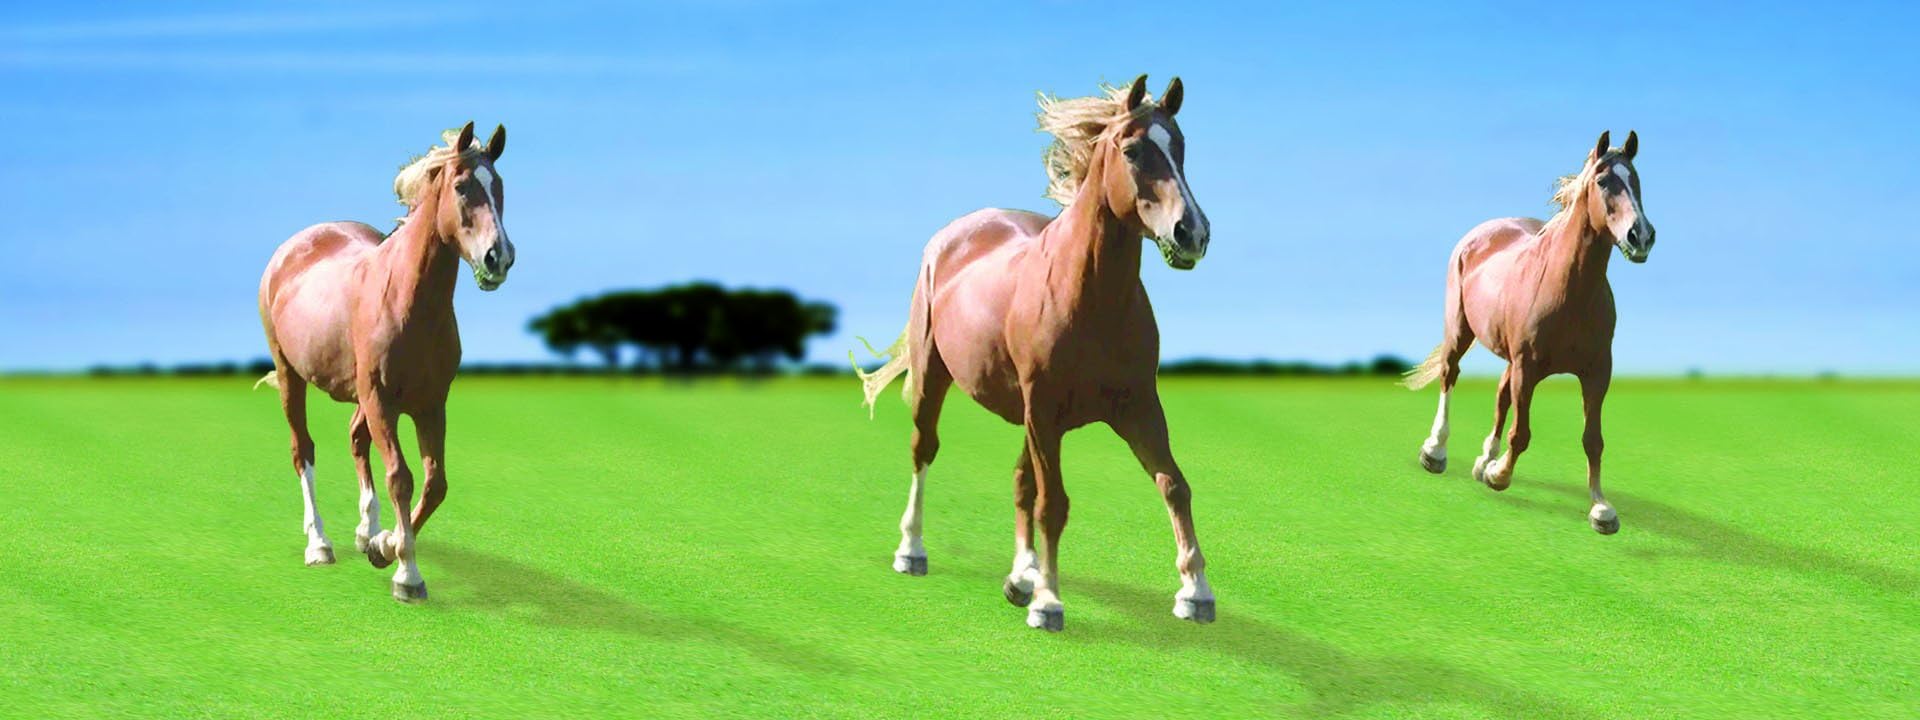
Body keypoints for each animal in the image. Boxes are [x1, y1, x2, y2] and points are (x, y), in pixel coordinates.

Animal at [255, 122, 514, 602]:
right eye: (462, 186)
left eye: (500, 186)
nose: (498, 257)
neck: (408, 301)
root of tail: (294, 246)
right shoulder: (381, 401)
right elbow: (400, 477)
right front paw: (406, 573)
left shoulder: (430, 405)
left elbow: (435, 483)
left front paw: (384, 543)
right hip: (292, 375)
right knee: (304, 450)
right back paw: (319, 544)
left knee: (356, 440)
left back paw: (366, 531)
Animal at [854, 75, 1213, 632]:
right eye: (1132, 150)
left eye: (1179, 148)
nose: (1191, 233)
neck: (1090, 297)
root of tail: (956, 232)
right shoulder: (1044, 410)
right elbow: (1054, 505)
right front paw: (1049, 602)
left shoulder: (1137, 407)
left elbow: (1173, 484)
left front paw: (1195, 593)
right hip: (938, 376)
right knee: (924, 450)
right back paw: (912, 552)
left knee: (1021, 479)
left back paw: (1021, 574)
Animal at [1404, 131, 1655, 535]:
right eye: (1603, 181)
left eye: (1636, 181)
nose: (1641, 236)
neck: (1569, 291)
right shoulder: (1529, 367)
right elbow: (1521, 433)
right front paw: (1499, 475)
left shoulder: (1597, 373)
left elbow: (1593, 440)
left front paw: (1601, 508)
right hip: (1461, 331)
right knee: (1449, 375)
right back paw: (1436, 451)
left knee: (1501, 395)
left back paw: (1483, 458)